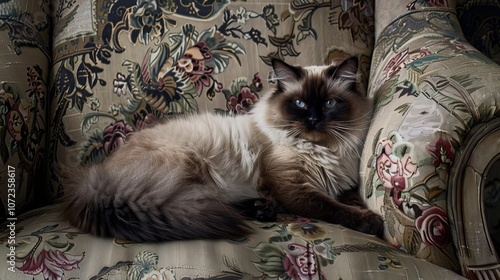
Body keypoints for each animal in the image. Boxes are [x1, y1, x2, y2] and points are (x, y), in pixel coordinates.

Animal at [60, 56, 384, 241]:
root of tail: (95, 180)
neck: (323, 150)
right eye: (300, 104)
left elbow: (349, 198)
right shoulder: (293, 186)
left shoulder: (341, 183)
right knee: (202, 203)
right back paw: (262, 210)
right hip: (189, 167)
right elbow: (331, 207)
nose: (314, 120)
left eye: (329, 103)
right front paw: (372, 222)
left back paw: (262, 209)